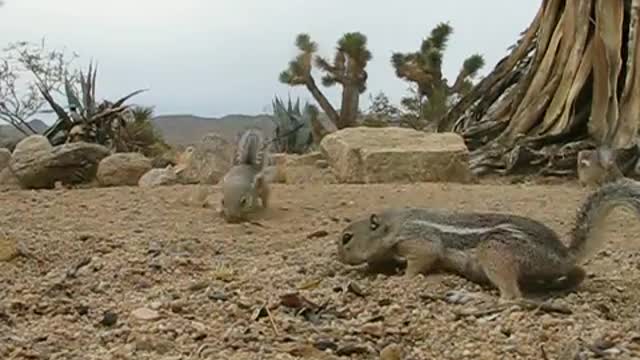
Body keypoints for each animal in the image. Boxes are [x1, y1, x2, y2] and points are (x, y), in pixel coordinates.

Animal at [336, 178, 640, 300]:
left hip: (494, 251)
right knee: (578, 273)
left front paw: (402, 279)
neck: (396, 223)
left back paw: (476, 299)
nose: (338, 258)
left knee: (512, 297)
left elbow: (424, 258)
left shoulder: (419, 240)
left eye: (347, 238)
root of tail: (564, 253)